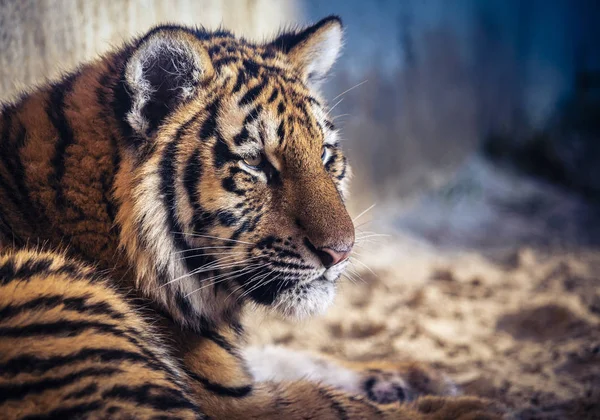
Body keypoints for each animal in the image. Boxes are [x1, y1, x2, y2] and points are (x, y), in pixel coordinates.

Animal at [0, 14, 506, 418]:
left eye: (325, 154)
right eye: (257, 163)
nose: (341, 253)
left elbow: (296, 359)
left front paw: (421, 376)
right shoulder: (231, 401)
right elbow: (340, 405)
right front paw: (470, 404)